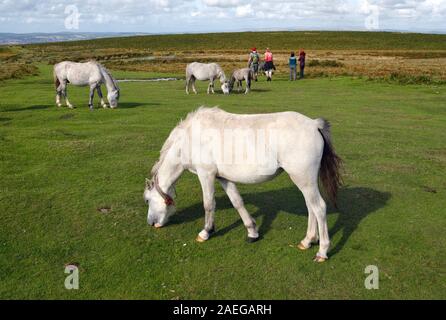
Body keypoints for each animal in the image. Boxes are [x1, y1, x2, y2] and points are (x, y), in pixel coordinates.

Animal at [143, 106, 342, 262]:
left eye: (147, 200)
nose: (151, 223)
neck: (190, 138)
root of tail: (314, 124)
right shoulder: (223, 178)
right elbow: (238, 203)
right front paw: (252, 232)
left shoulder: (206, 174)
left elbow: (209, 204)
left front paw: (206, 232)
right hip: (306, 182)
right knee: (311, 207)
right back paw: (308, 241)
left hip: (304, 180)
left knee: (319, 208)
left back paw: (322, 251)